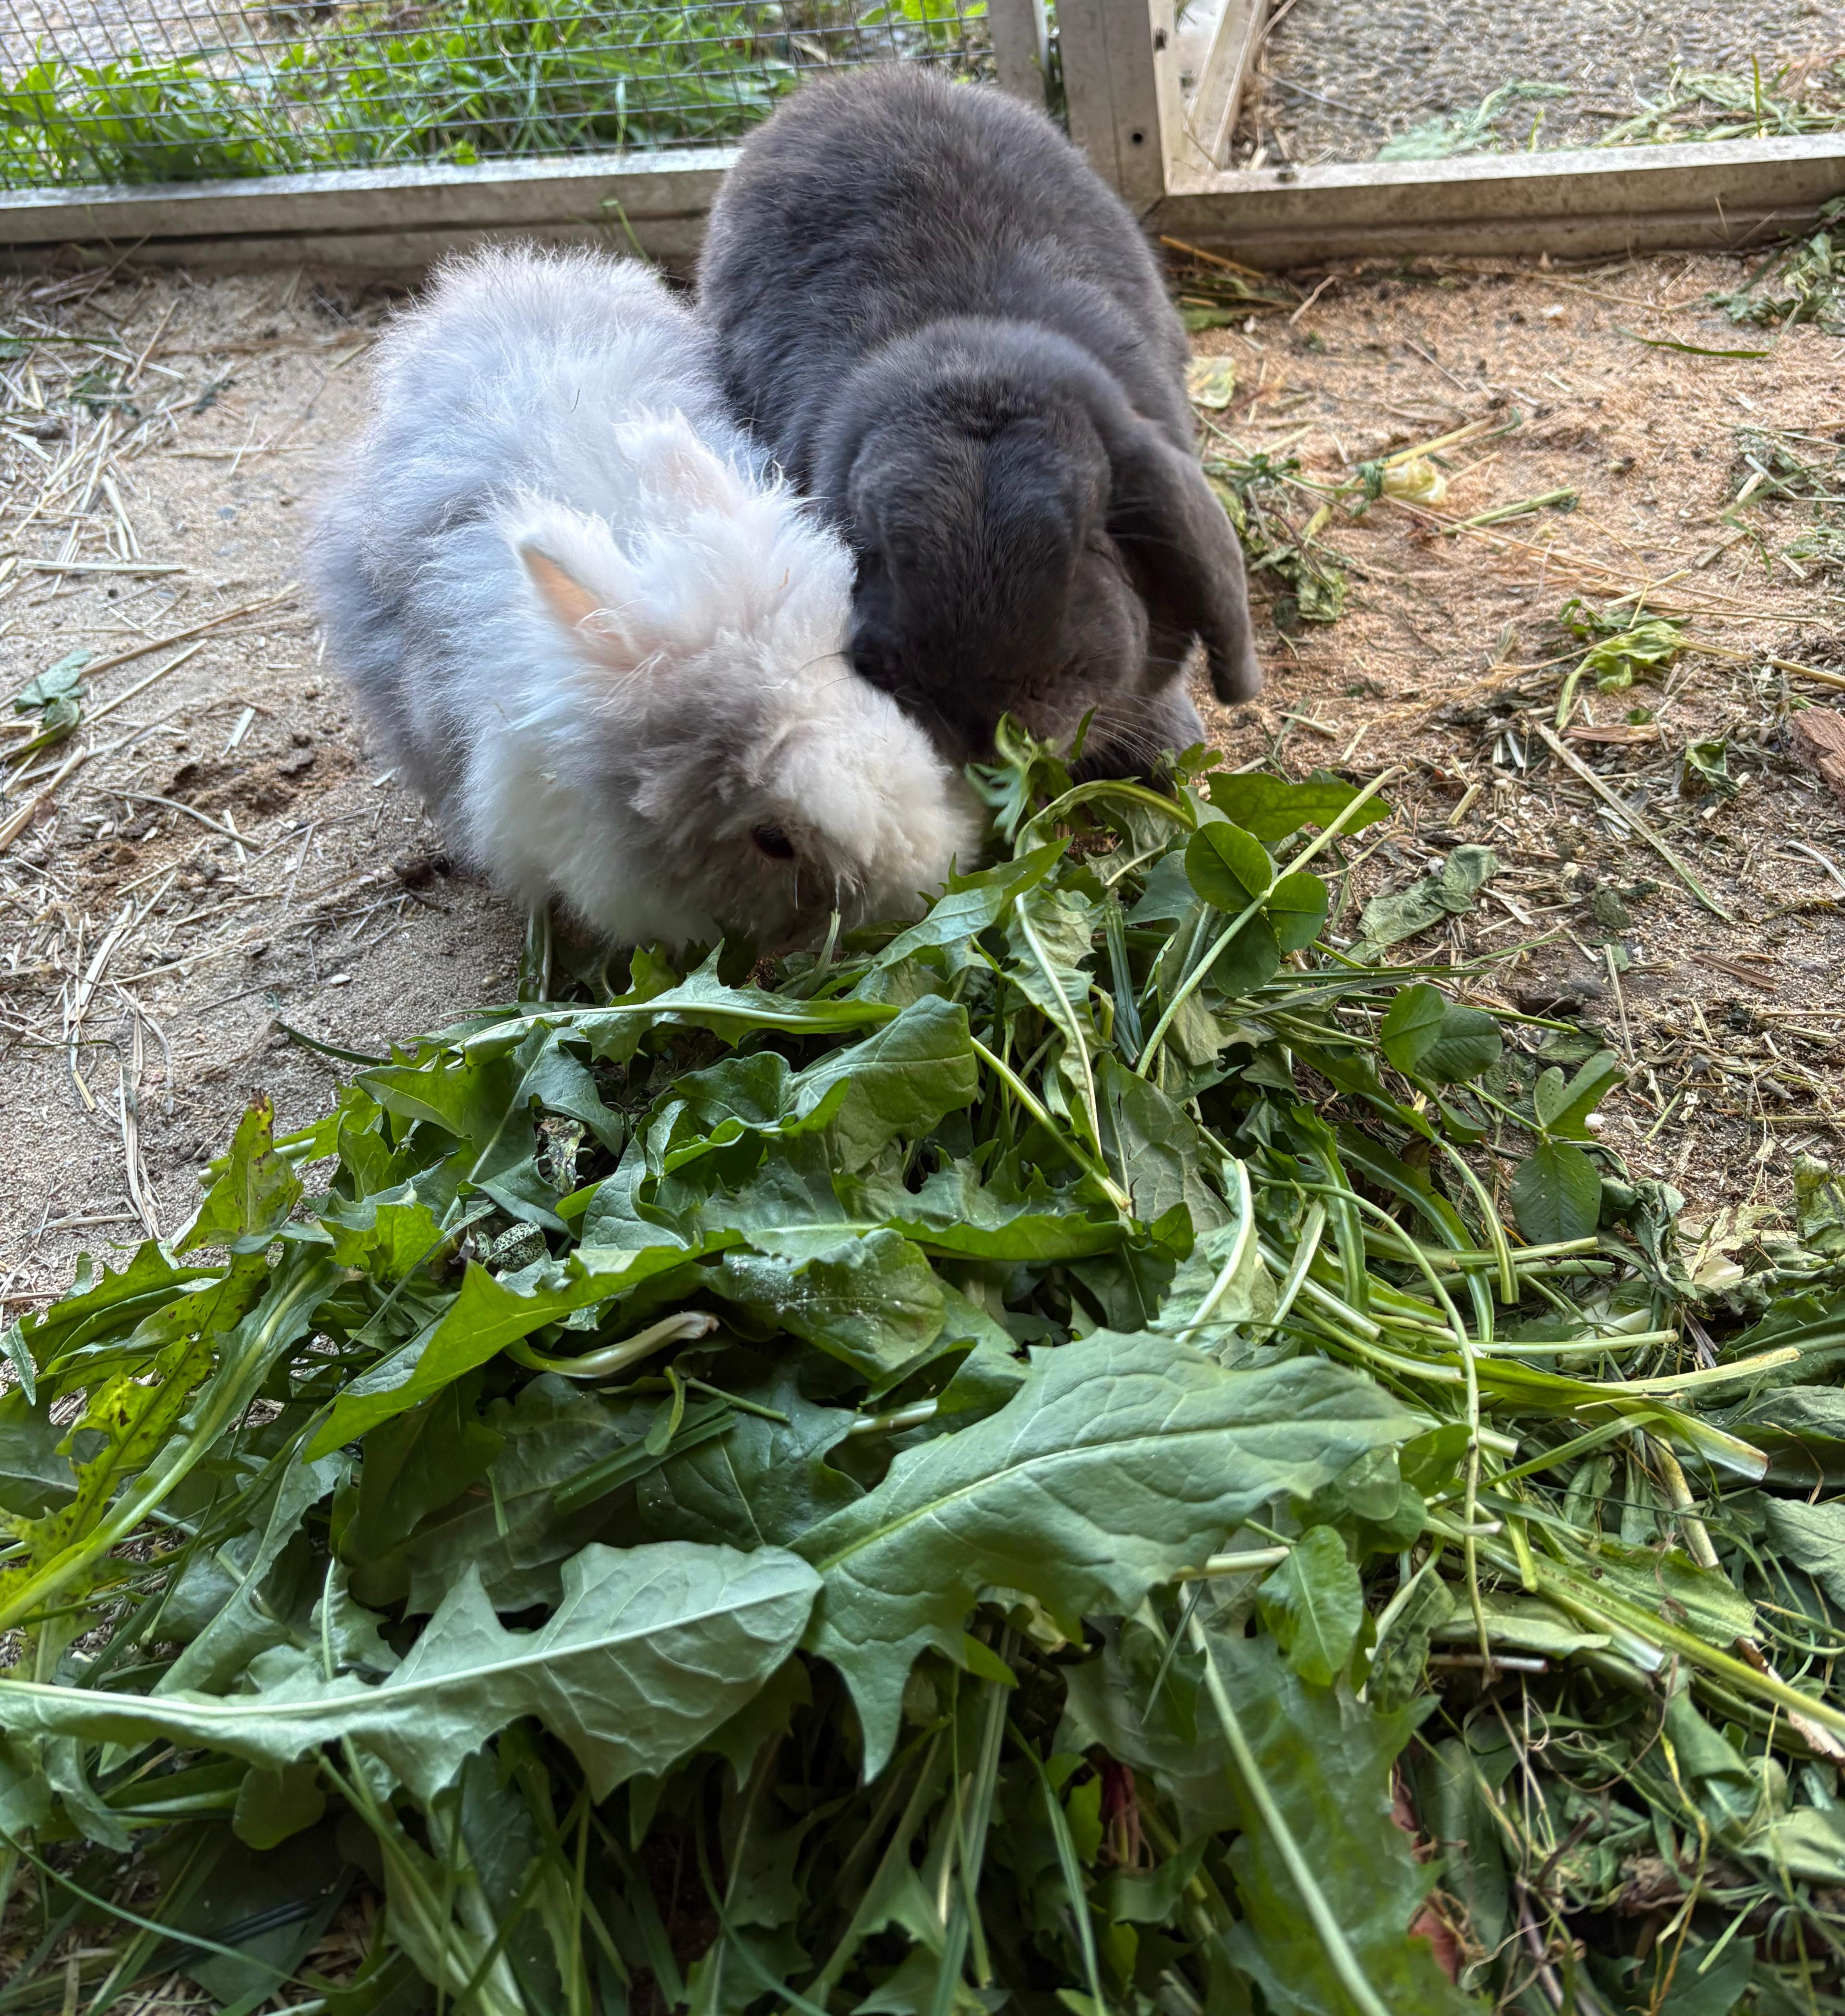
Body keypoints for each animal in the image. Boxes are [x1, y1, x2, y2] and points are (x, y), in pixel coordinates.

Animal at [696, 65, 1263, 780]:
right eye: (872, 547)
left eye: (1094, 541)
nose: (983, 719)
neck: (973, 365)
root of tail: (854, 83)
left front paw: (1168, 754)